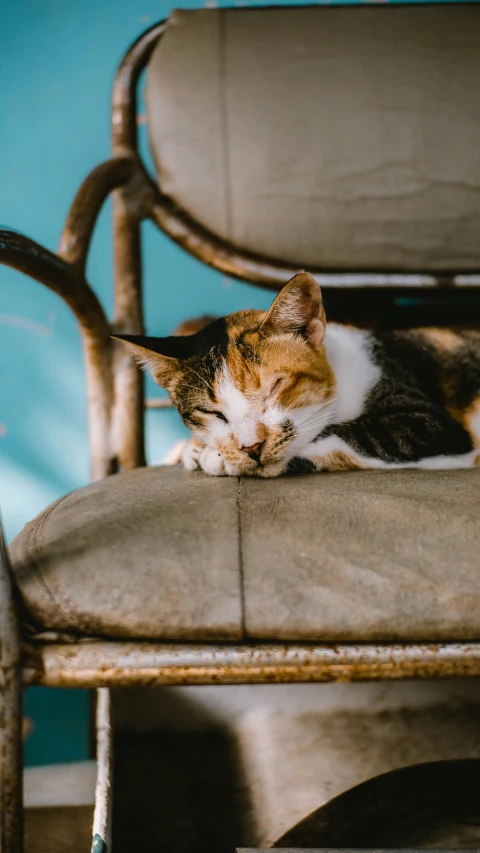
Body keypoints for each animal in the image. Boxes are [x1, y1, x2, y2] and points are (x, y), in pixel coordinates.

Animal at [115, 272, 480, 476]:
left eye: (276, 386)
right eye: (212, 412)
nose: (251, 447)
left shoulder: (434, 426)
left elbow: (351, 433)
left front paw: (214, 455)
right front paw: (197, 448)